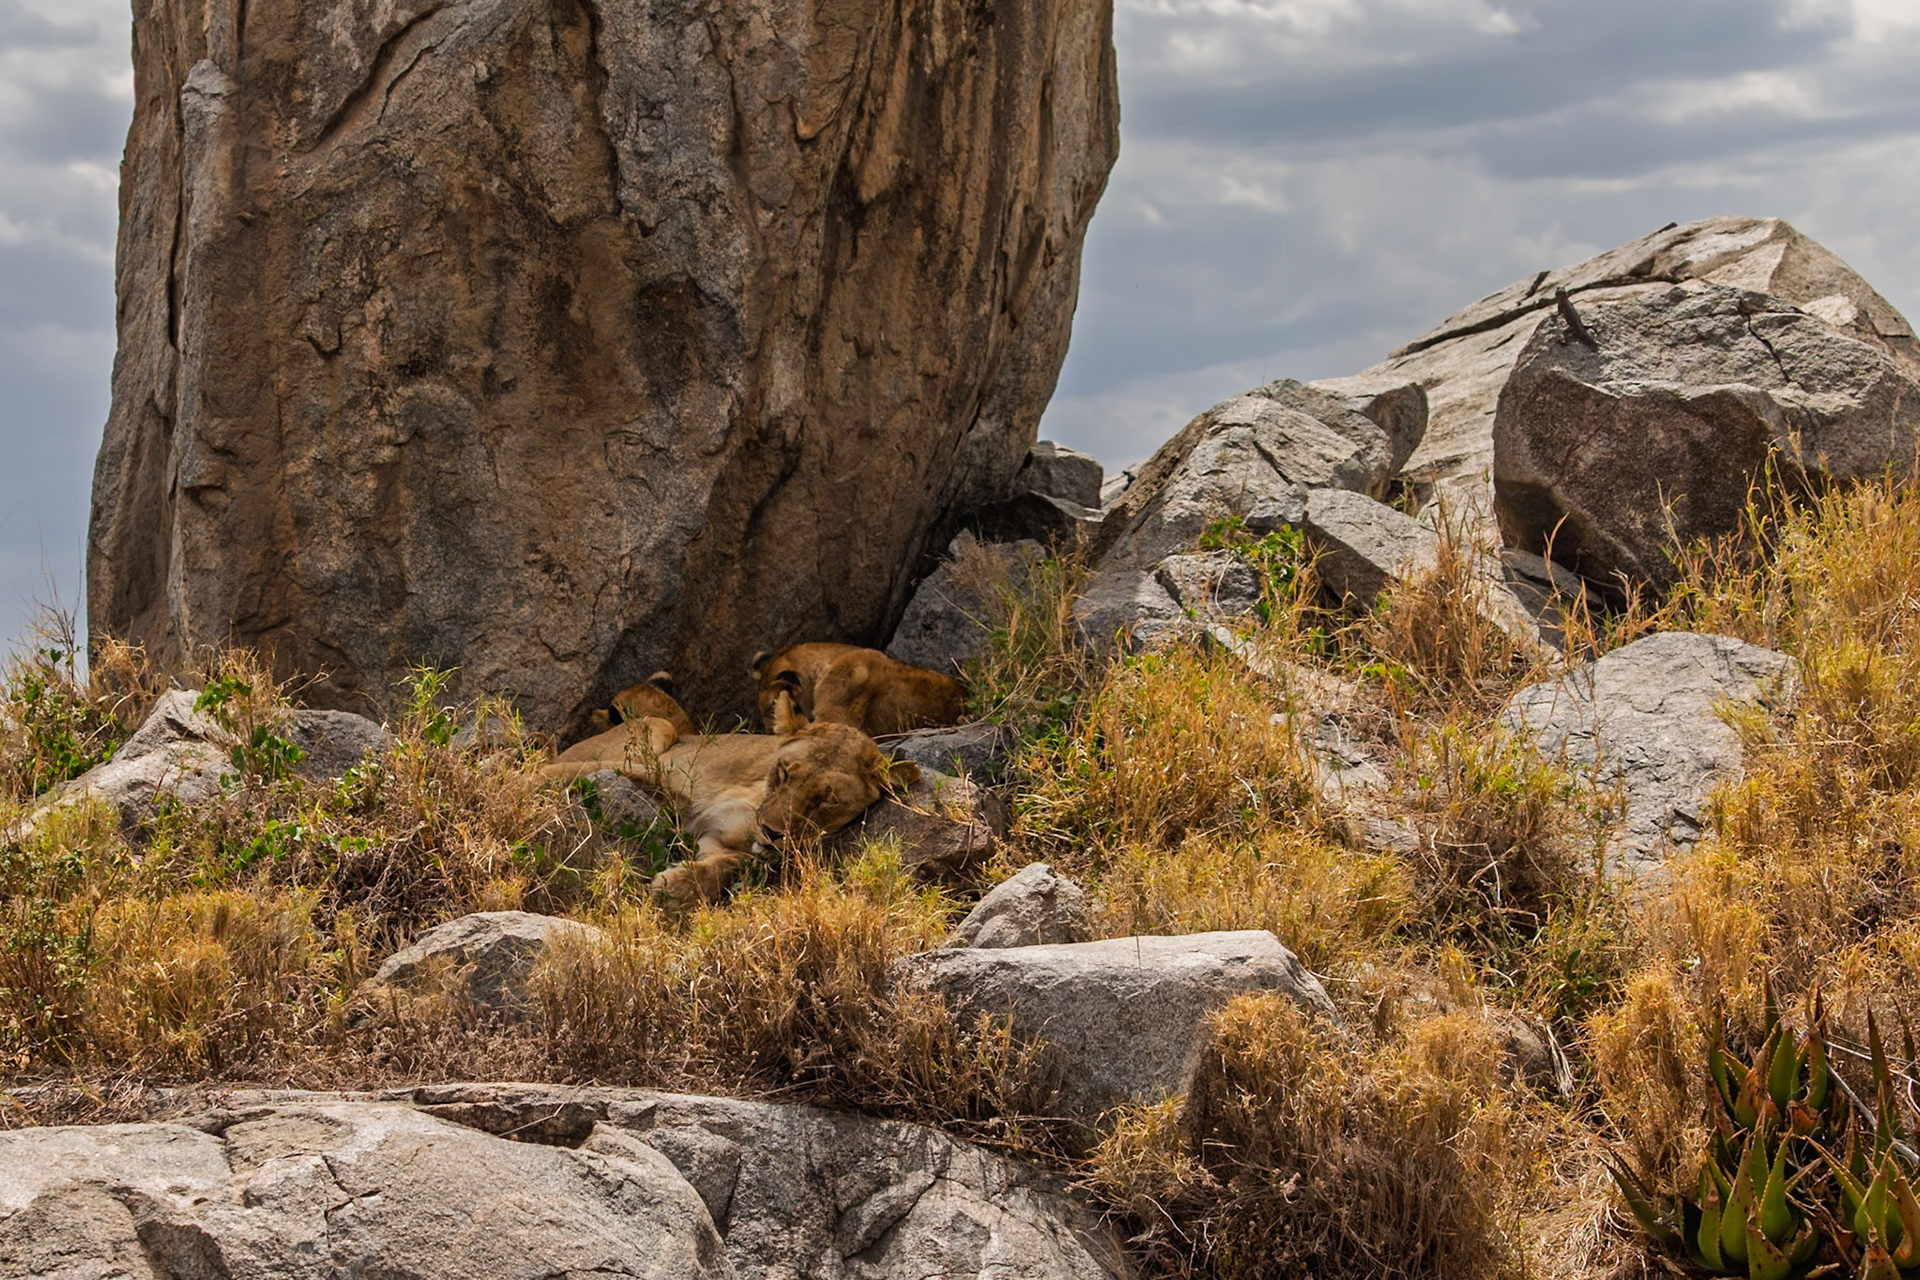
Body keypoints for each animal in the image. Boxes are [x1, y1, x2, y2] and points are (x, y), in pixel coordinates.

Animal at [543, 672, 919, 906]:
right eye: (784, 772)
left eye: (827, 801)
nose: (772, 832)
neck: (755, 800)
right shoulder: (670, 781)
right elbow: (576, 771)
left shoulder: (716, 840)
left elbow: (732, 865)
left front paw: (676, 886)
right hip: (662, 726)